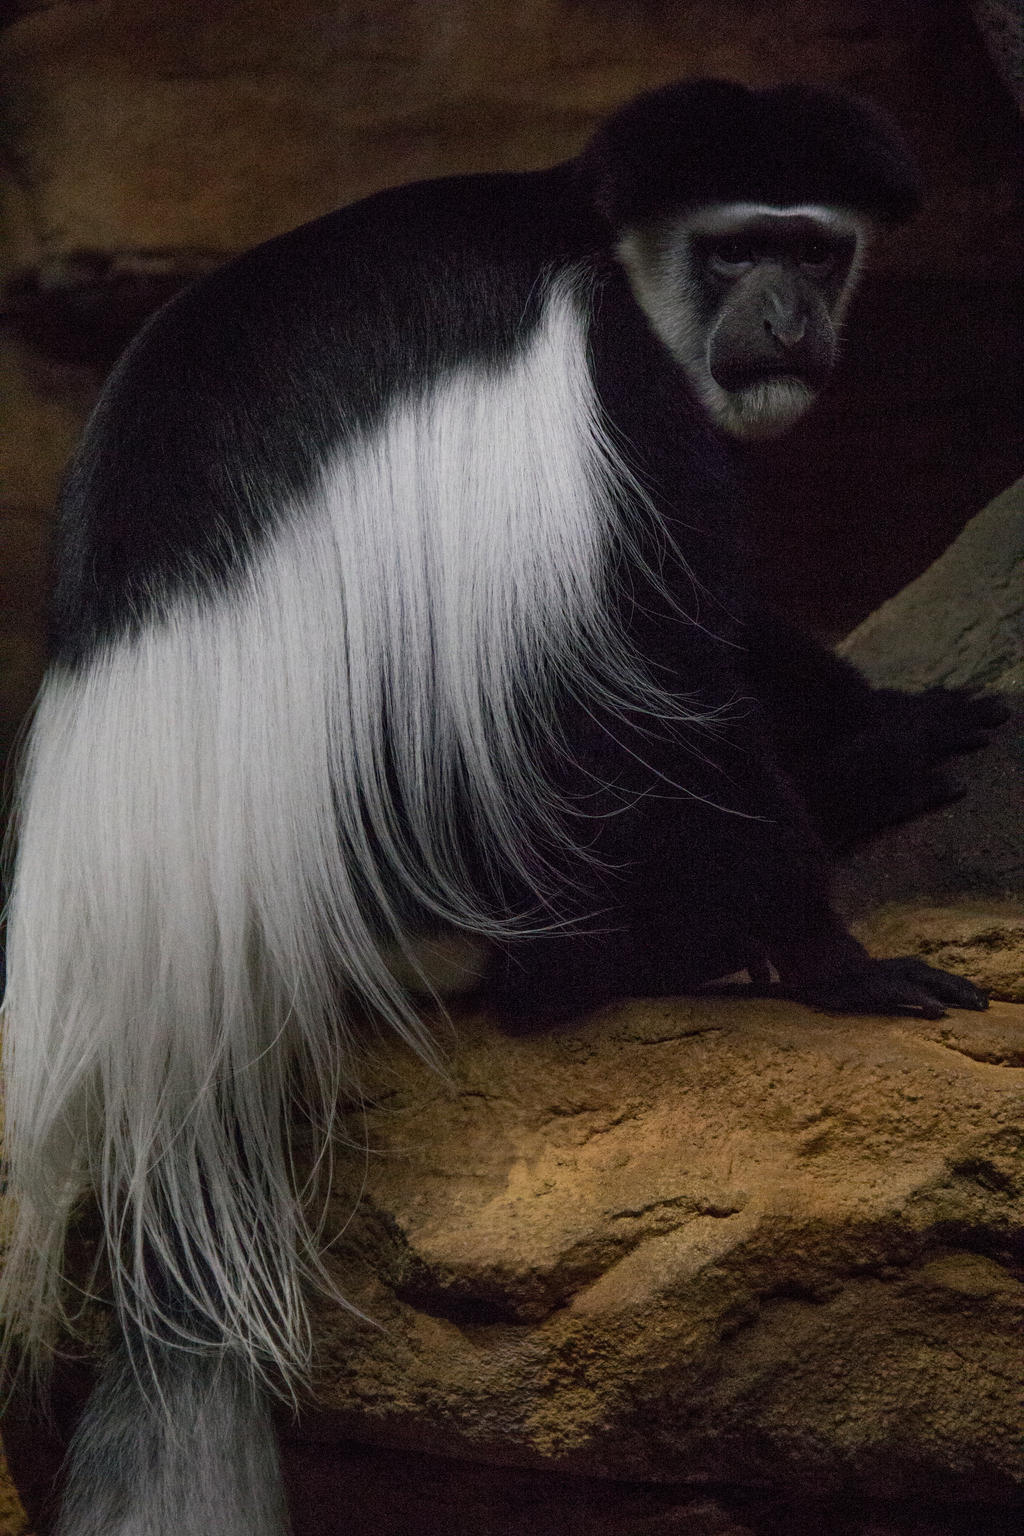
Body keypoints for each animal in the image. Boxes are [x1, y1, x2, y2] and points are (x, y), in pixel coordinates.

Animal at [0, 77, 1000, 1529]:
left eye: (816, 252)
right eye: (738, 250)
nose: (789, 321)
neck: (594, 239)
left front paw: (893, 720)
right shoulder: (604, 382)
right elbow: (659, 658)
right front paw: (841, 962)